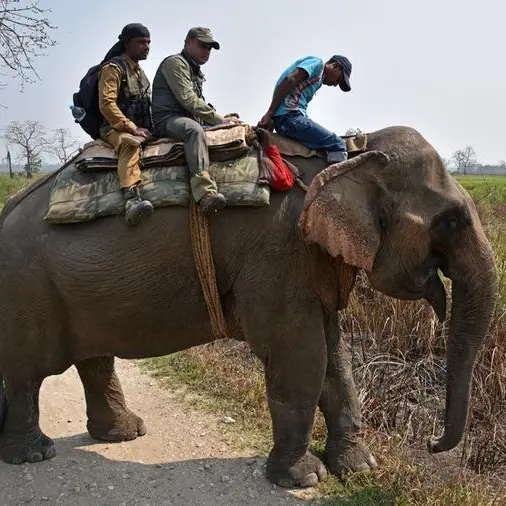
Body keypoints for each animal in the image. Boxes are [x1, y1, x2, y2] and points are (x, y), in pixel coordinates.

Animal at [0, 124, 498, 488]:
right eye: (451, 221)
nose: (432, 444)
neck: (347, 154)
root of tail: (8, 208)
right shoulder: (278, 254)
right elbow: (299, 354)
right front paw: (303, 479)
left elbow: (335, 356)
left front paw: (359, 468)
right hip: (27, 290)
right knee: (27, 372)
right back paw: (33, 454)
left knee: (93, 359)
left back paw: (123, 433)